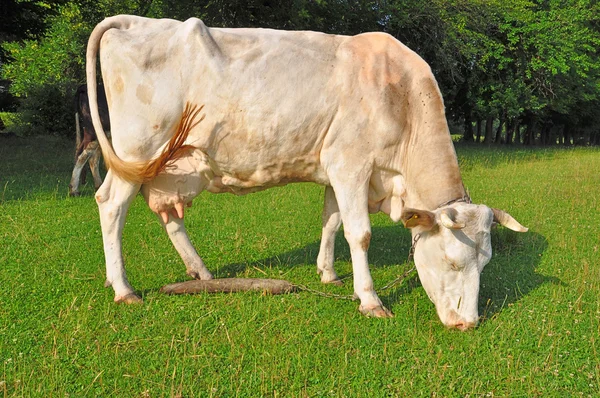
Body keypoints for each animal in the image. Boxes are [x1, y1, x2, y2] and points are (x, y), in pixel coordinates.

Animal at [84, 15, 524, 330]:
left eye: (485, 263)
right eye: (452, 262)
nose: (467, 324)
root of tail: (131, 21)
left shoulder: (335, 169)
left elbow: (331, 222)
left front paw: (328, 274)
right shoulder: (351, 164)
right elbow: (359, 233)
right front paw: (370, 300)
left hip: (167, 167)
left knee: (168, 216)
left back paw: (201, 273)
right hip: (137, 150)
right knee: (110, 205)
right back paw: (123, 287)